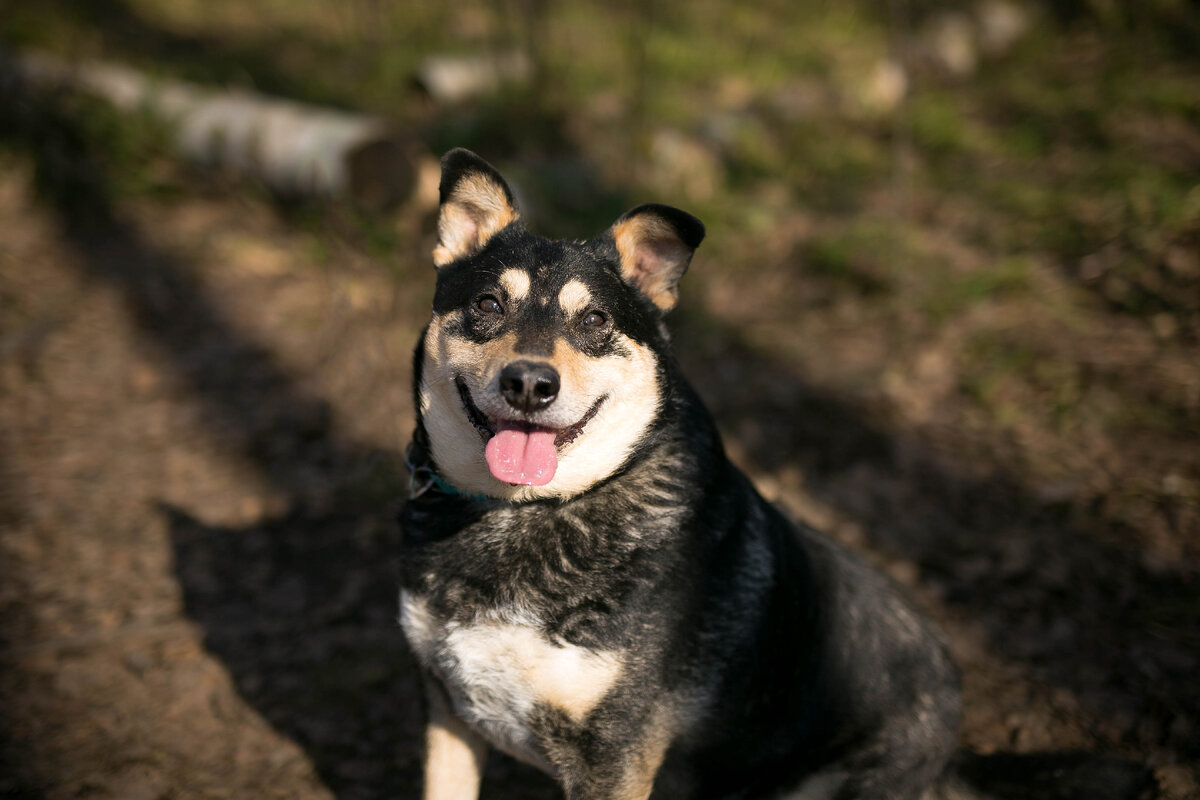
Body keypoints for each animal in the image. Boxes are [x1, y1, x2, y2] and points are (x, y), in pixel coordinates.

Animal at [398, 149, 960, 800]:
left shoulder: (615, 756)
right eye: (488, 305)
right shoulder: (447, 709)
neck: (527, 509)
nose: (530, 384)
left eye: (594, 319)